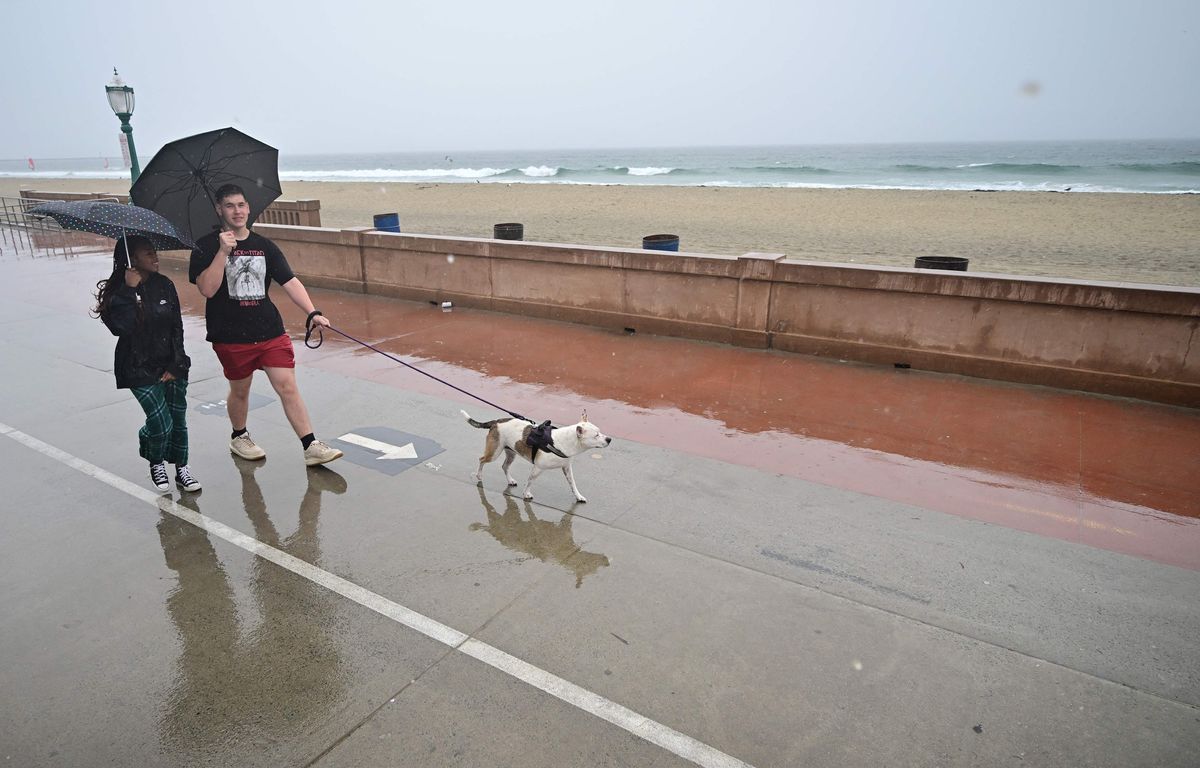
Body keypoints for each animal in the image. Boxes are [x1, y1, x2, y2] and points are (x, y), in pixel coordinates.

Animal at [458, 410, 609, 501]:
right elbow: (530, 481)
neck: (562, 442)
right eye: (596, 435)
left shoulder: (567, 468)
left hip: (511, 453)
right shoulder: (537, 468)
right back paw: (479, 475)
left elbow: (573, 484)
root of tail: (496, 421)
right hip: (494, 452)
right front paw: (526, 494)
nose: (609, 439)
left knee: (504, 466)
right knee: (482, 459)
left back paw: (510, 480)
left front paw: (578, 496)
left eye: (600, 432)